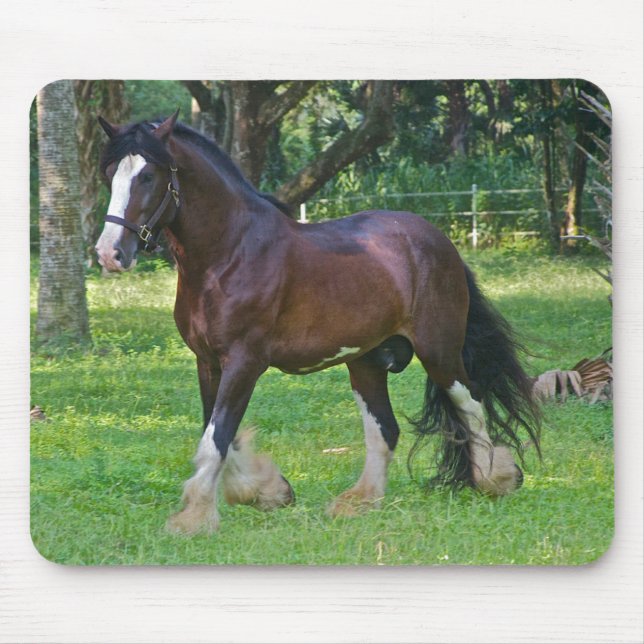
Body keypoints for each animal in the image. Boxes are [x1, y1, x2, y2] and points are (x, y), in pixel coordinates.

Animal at [94, 111, 541, 534]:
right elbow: (219, 432)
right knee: (385, 429)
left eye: (147, 175)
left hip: (439, 350)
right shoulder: (208, 362)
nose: (110, 254)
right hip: (366, 362)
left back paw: (495, 479)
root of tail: (438, 241)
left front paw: (194, 518)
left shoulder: (244, 362)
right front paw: (267, 491)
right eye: (109, 174)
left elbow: (216, 437)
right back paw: (359, 501)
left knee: (470, 405)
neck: (230, 254)